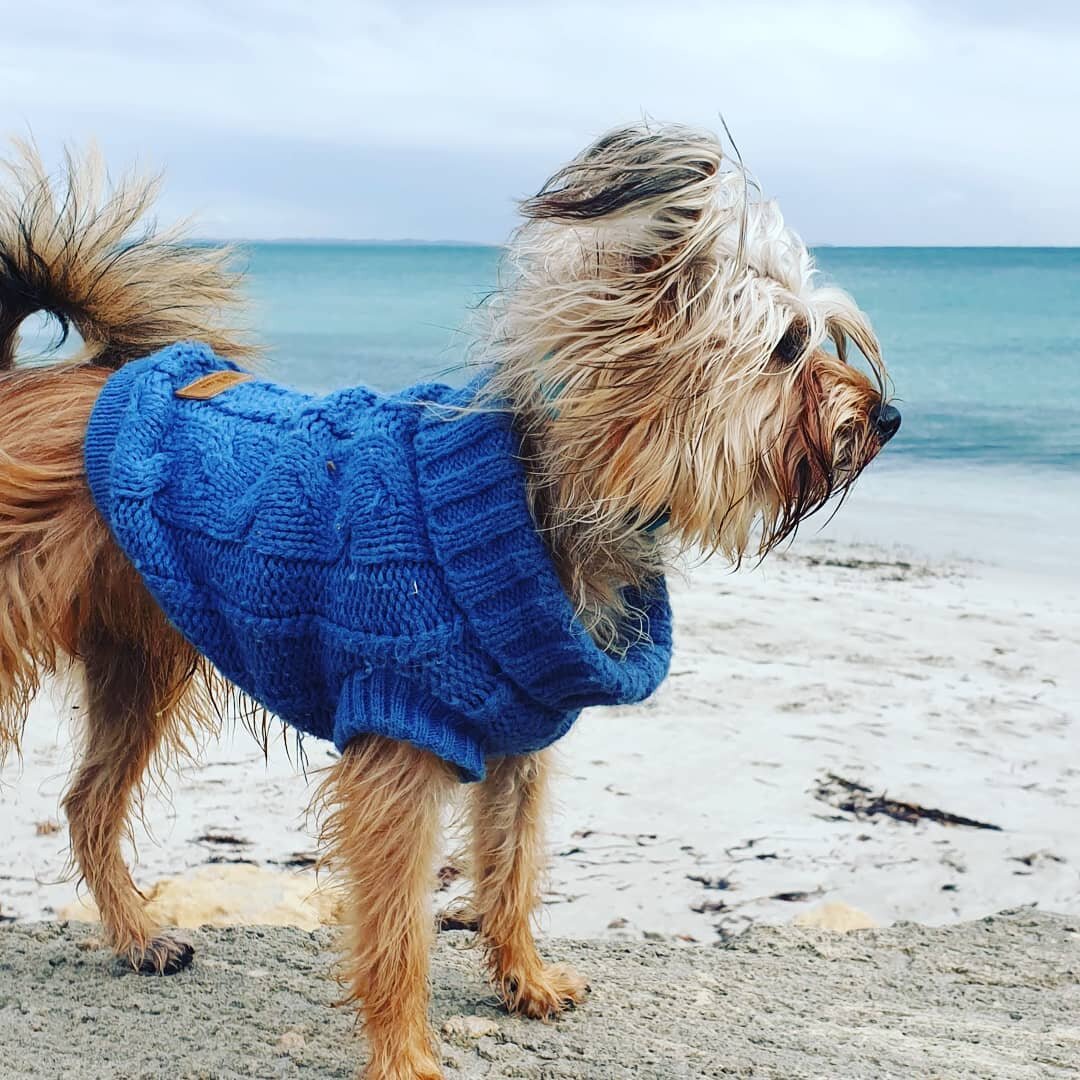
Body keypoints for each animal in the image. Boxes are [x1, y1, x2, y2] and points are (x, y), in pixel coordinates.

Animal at [0, 122, 894, 1075]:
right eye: (789, 348)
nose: (889, 418)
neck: (531, 505)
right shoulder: (401, 749)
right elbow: (399, 932)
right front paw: (405, 1057)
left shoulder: (519, 746)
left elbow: (512, 868)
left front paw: (524, 980)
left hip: (138, 660)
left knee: (89, 804)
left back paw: (136, 937)